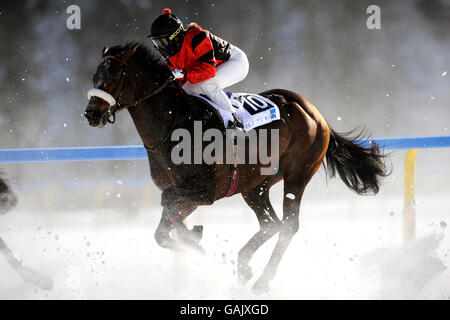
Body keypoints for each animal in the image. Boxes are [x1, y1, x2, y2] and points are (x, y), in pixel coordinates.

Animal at [83, 42, 386, 292]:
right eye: (94, 76)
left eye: (113, 76)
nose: (91, 114)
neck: (172, 125)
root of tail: (313, 111)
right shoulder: (186, 193)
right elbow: (163, 228)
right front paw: (194, 240)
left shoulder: (204, 190)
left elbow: (168, 208)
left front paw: (195, 241)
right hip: (255, 185)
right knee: (271, 223)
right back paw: (243, 266)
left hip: (298, 173)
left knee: (289, 225)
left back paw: (262, 281)